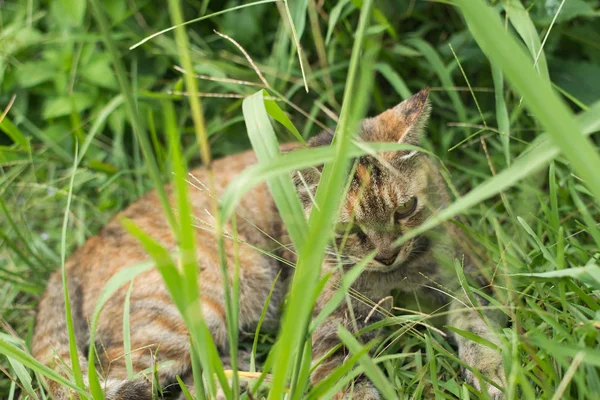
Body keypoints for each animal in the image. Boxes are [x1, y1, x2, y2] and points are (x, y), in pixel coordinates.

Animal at [32, 89, 506, 398]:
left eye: (406, 209)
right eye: (346, 230)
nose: (388, 254)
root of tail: (74, 255)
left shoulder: (469, 276)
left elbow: (477, 324)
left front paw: (491, 372)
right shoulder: (327, 333)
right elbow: (347, 384)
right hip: (206, 301)